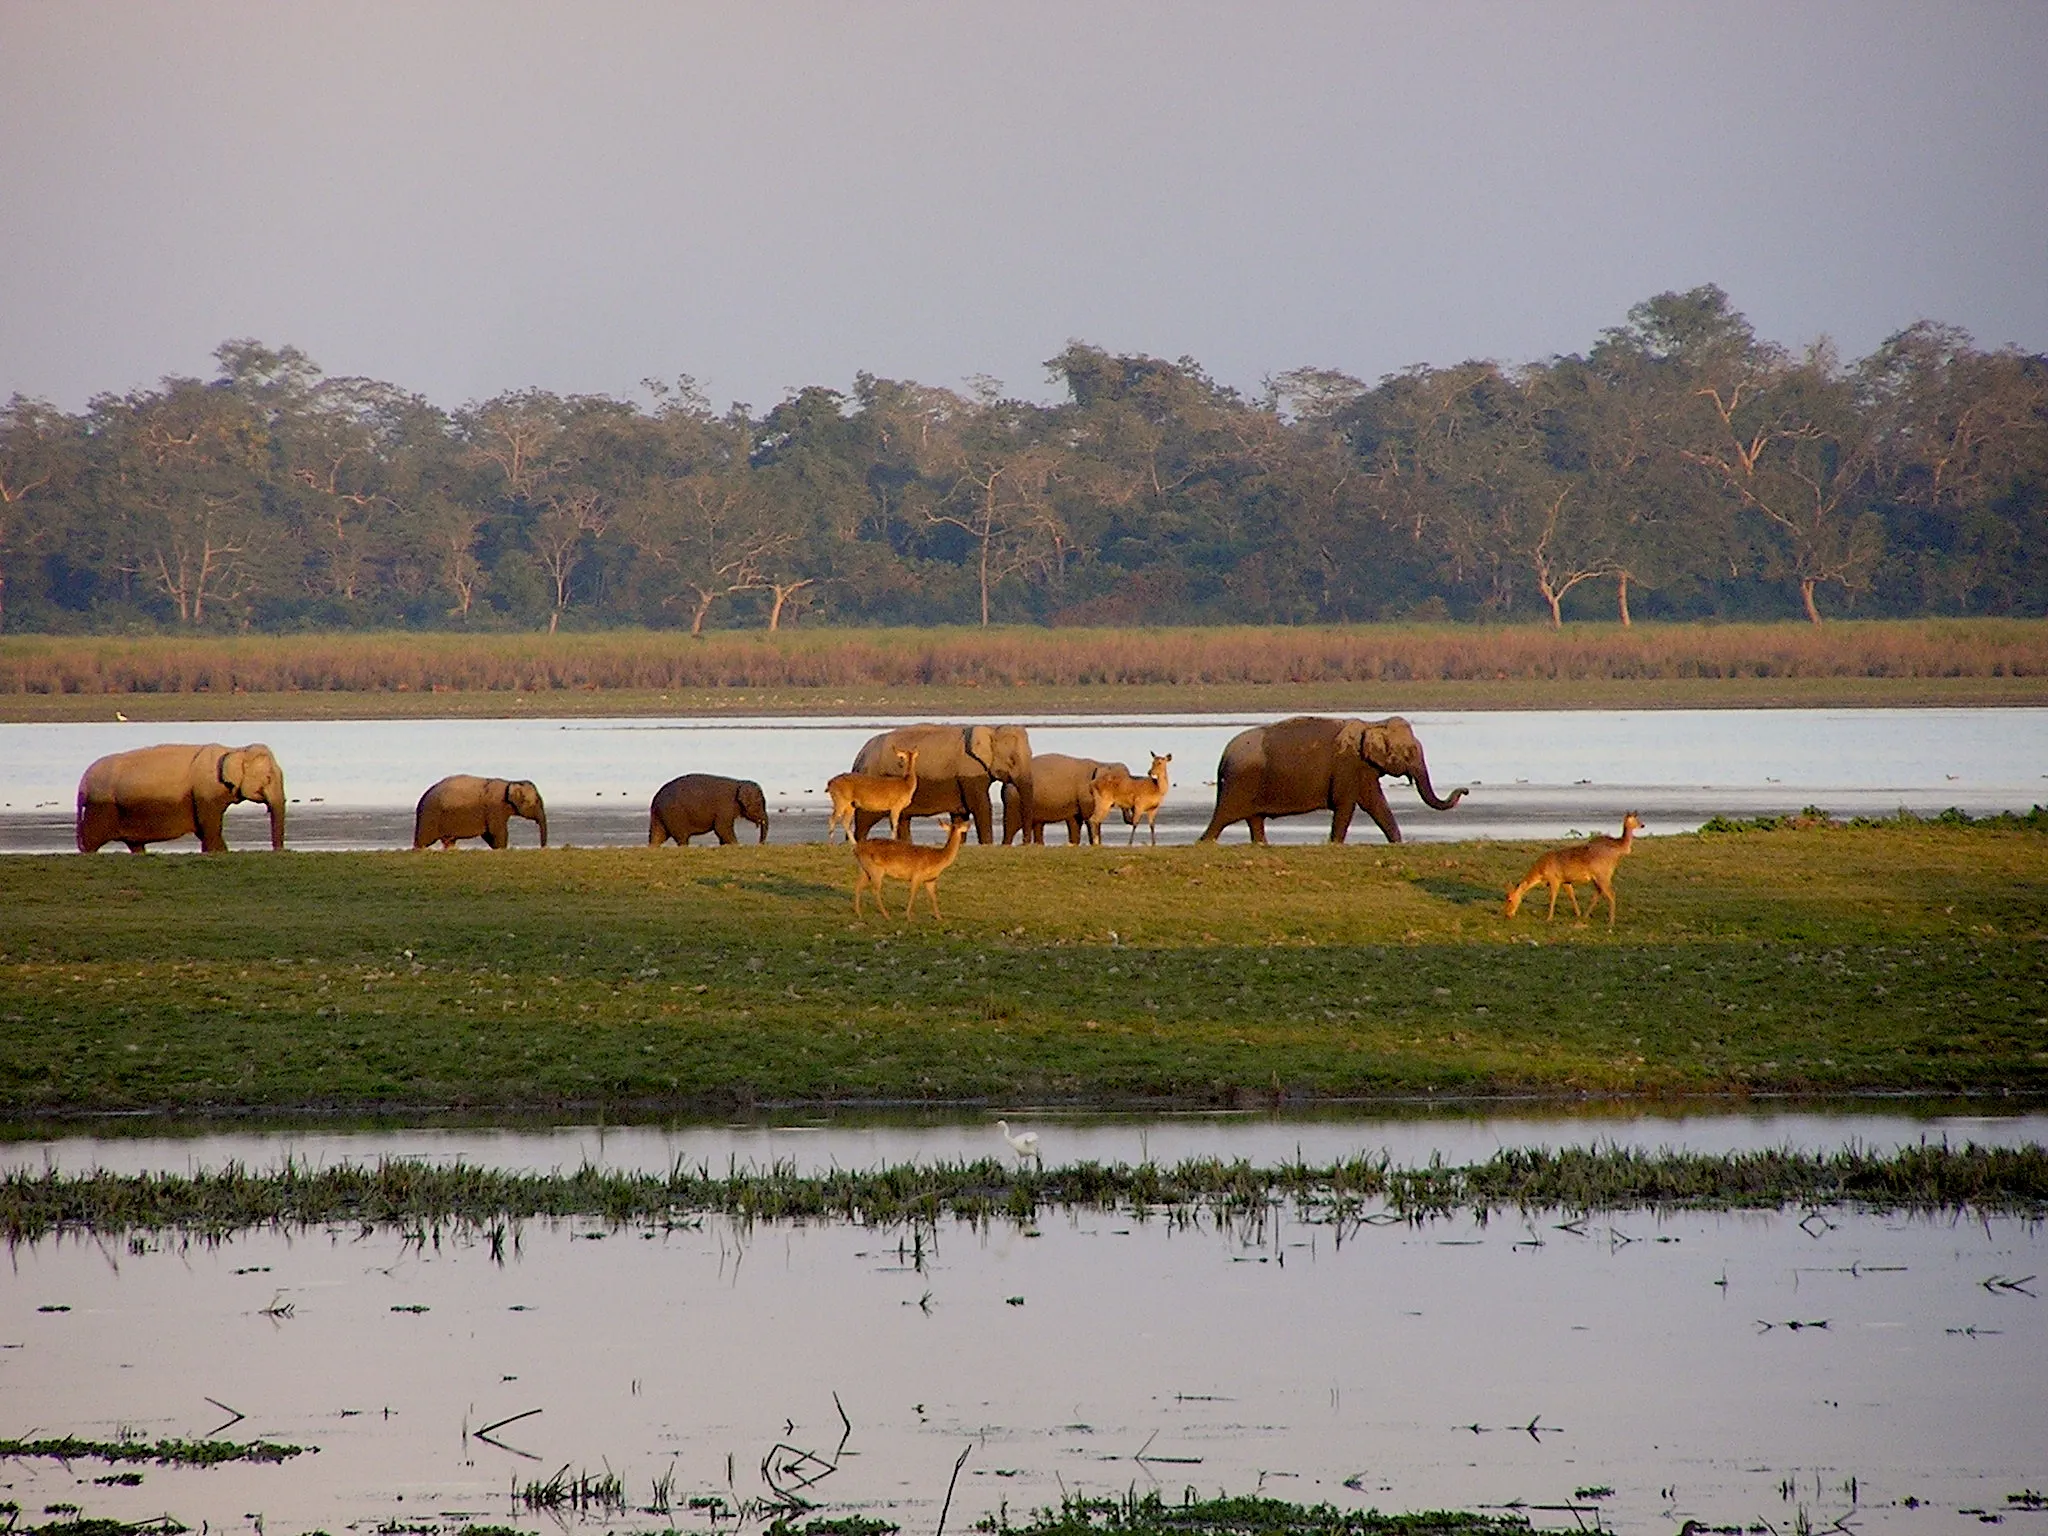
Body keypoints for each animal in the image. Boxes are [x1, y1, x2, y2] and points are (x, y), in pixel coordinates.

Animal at [76, 742, 286, 854]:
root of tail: (83, 782)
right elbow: (209, 826)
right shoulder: (204, 790)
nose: (277, 851)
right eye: (268, 778)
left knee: (135, 845)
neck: (235, 749)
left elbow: (205, 829)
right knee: (91, 839)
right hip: (102, 805)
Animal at [413, 775, 548, 849]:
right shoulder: (494, 807)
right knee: (423, 842)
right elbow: (497, 832)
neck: (510, 782)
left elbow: (489, 834)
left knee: (449, 841)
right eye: (537, 801)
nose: (543, 848)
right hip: (430, 816)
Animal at [849, 723, 1033, 844]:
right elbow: (980, 806)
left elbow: (961, 814)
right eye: (1012, 760)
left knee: (902, 819)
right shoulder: (969, 771)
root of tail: (860, 756)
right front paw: (987, 844)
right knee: (865, 819)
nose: (1025, 843)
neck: (991, 730)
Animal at [1197, 715, 1466, 845]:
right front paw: (1335, 843)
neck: (1372, 724)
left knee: (1254, 820)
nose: (1464, 790)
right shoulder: (1348, 766)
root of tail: (1224, 756)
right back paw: (1204, 843)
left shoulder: (1363, 770)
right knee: (1222, 818)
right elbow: (1346, 805)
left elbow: (1376, 804)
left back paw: (1261, 845)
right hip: (1240, 783)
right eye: (1410, 753)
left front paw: (1397, 843)